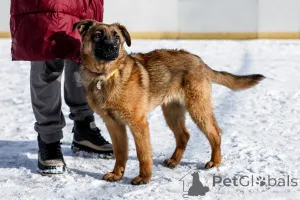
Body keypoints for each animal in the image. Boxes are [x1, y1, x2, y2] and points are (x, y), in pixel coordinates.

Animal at [73, 19, 264, 185]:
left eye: (117, 37)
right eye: (98, 35)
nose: (112, 47)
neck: (104, 76)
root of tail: (199, 61)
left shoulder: (138, 123)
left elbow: (143, 153)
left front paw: (144, 178)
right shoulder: (114, 124)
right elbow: (120, 152)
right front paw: (117, 174)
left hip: (198, 109)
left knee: (215, 133)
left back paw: (214, 162)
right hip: (172, 112)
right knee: (184, 135)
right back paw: (174, 160)